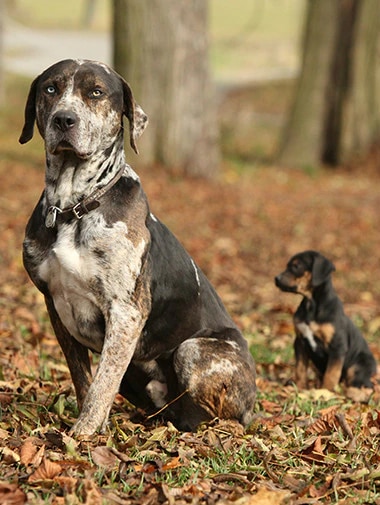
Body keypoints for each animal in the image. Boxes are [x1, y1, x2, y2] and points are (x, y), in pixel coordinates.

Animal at [18, 59, 255, 436]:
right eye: (51, 89)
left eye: (96, 92)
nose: (64, 120)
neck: (75, 205)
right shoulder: (55, 306)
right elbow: (85, 379)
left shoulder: (125, 311)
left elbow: (101, 385)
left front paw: (83, 435)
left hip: (193, 349)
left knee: (214, 414)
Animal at [274, 250, 376, 400]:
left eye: (296, 266)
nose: (276, 278)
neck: (312, 305)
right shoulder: (300, 342)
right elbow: (300, 369)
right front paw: (299, 388)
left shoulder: (337, 347)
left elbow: (331, 374)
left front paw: (325, 392)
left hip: (358, 366)